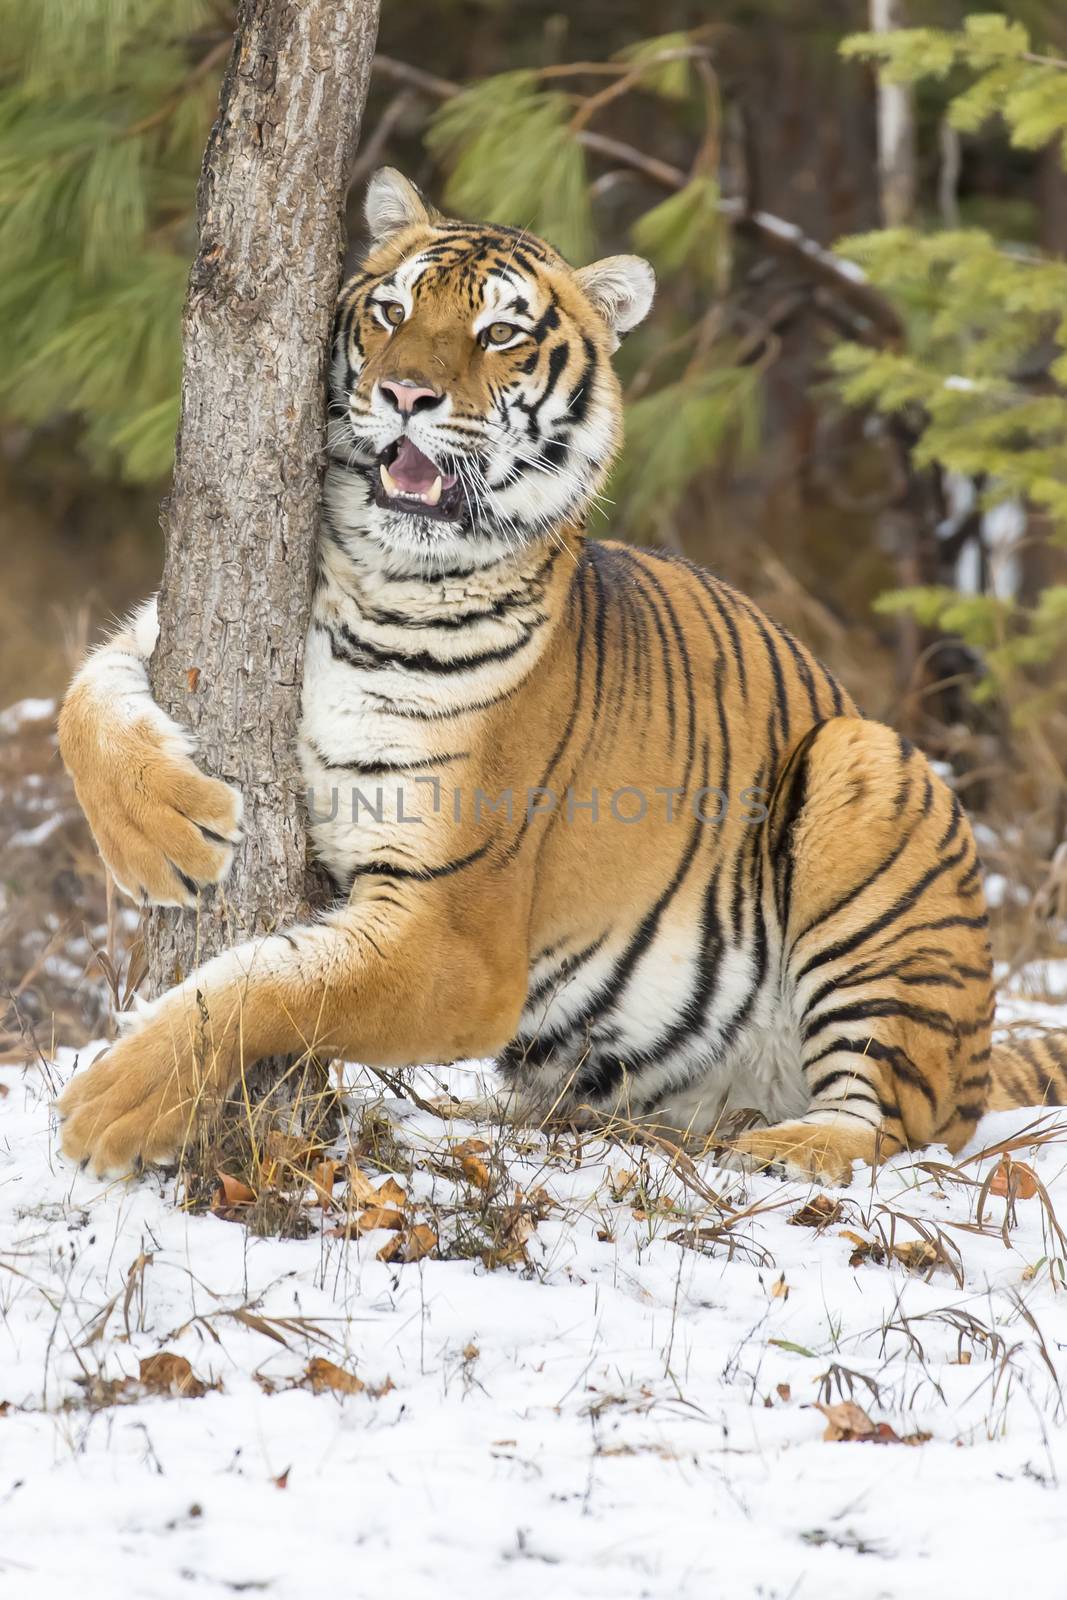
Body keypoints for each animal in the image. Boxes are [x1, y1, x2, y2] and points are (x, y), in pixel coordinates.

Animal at [56, 168, 1067, 1184]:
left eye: (499, 334)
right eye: (391, 311)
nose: (404, 393)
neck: (376, 574)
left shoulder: (456, 935)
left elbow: (274, 986)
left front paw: (116, 1101)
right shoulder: (157, 638)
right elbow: (85, 693)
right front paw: (165, 839)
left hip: (864, 773)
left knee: (904, 1121)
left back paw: (795, 1146)